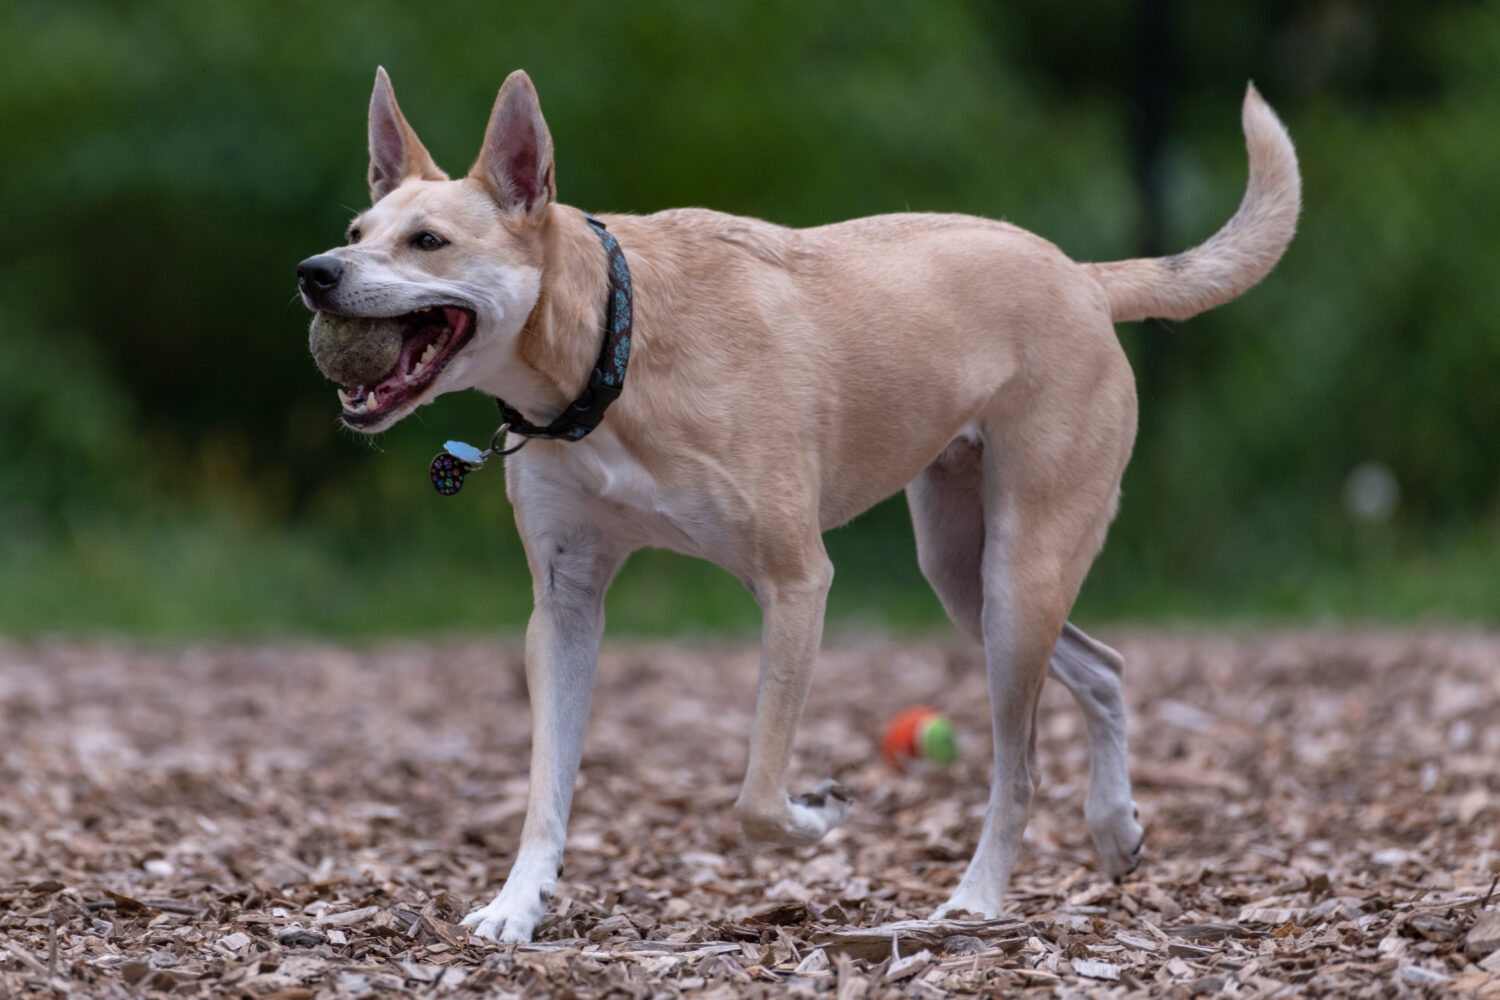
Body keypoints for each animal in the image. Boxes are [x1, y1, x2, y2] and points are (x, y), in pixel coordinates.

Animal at [295, 66, 1302, 941]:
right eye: (356, 227)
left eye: (428, 241)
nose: (316, 271)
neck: (613, 352)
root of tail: (1083, 276)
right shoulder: (566, 604)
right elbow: (547, 785)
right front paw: (516, 907)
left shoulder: (795, 584)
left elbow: (756, 795)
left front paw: (818, 815)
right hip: (963, 575)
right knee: (1105, 668)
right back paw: (1115, 829)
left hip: (1021, 575)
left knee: (1018, 767)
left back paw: (976, 901)